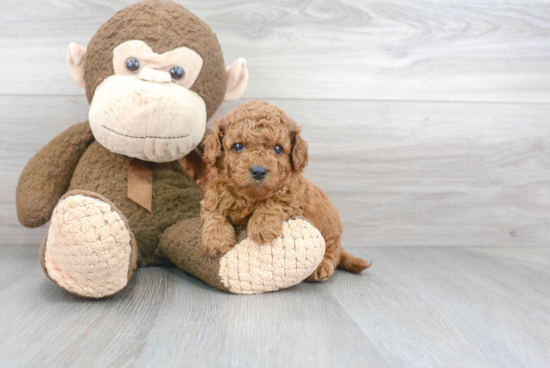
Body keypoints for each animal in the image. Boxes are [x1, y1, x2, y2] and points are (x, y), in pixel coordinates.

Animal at [199, 102, 370, 280]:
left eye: (278, 149)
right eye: (238, 146)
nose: (259, 171)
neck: (251, 195)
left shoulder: (294, 197)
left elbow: (274, 204)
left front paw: (262, 226)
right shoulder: (212, 196)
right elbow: (213, 213)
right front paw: (216, 239)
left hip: (330, 229)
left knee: (332, 251)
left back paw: (322, 267)